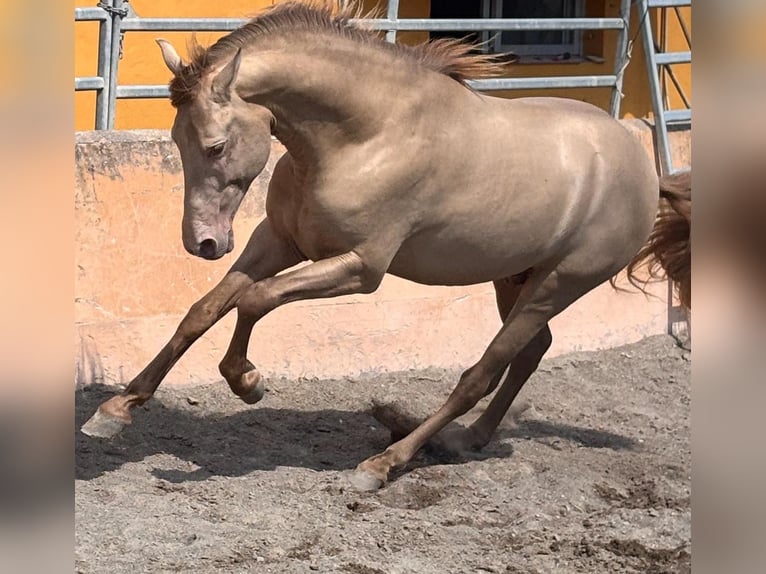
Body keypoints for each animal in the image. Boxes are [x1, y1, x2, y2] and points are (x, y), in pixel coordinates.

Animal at [82, 1, 690, 491]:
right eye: (176, 140)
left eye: (214, 145)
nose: (203, 243)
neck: (365, 136)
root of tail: (645, 170)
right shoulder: (277, 240)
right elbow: (203, 310)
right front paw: (116, 409)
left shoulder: (361, 268)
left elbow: (256, 300)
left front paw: (249, 382)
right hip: (513, 276)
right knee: (530, 352)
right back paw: (466, 441)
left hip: (559, 282)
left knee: (482, 371)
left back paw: (385, 463)